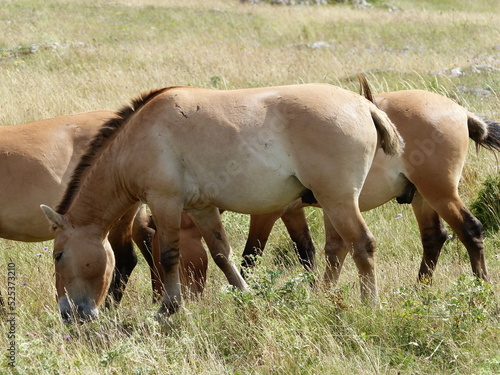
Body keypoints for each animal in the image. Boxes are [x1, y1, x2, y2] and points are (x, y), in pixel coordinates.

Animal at [41, 84, 404, 324]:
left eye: (59, 255)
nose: (68, 314)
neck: (138, 137)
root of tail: (364, 105)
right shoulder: (201, 209)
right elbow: (222, 255)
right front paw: (246, 295)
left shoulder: (165, 202)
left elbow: (168, 256)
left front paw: (167, 309)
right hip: (333, 203)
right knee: (340, 249)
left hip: (338, 200)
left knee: (362, 245)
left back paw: (369, 306)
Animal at [240, 85, 498, 286]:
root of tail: (462, 112)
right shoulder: (292, 213)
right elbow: (306, 253)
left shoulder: (267, 214)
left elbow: (249, 258)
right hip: (421, 197)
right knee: (434, 237)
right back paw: (420, 290)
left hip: (440, 193)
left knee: (470, 230)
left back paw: (480, 287)